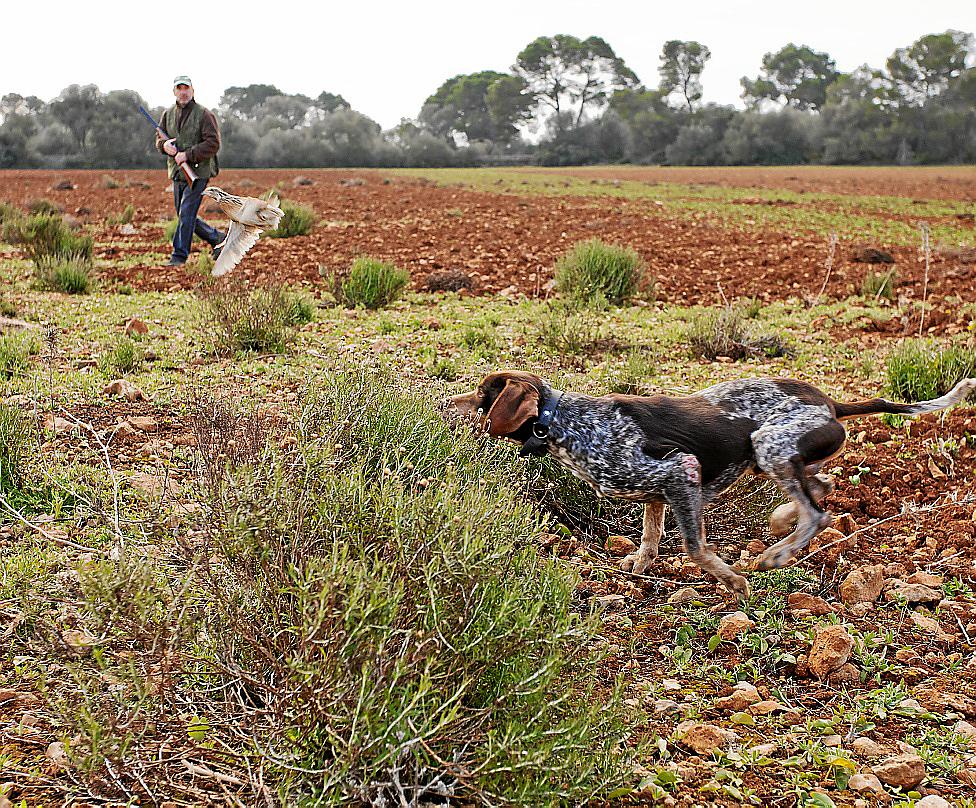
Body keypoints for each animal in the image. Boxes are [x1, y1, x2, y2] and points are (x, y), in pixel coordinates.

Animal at [452, 370, 976, 592]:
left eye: (480, 393)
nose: (445, 402)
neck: (565, 423)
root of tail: (830, 403)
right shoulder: (659, 489)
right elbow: (650, 537)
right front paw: (637, 568)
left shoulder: (679, 471)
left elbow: (695, 547)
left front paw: (731, 580)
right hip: (772, 456)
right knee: (820, 489)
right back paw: (781, 521)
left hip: (769, 443)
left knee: (819, 513)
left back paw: (776, 553)